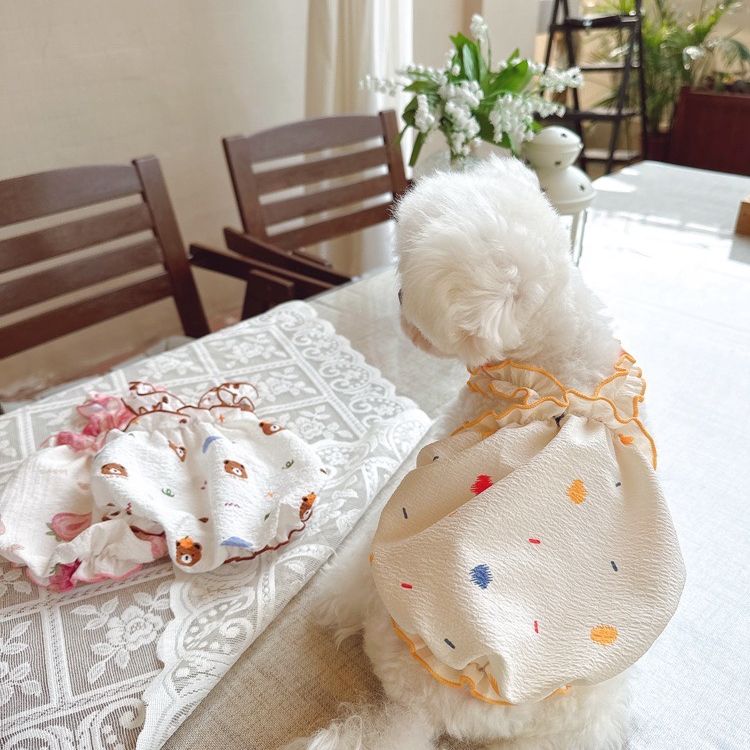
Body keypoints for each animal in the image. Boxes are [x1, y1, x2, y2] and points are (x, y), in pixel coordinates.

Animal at [286, 157, 641, 750]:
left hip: (388, 587)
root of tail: (425, 710)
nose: (398, 298)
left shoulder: (442, 444)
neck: (552, 362)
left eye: (414, 285)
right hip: (593, 697)